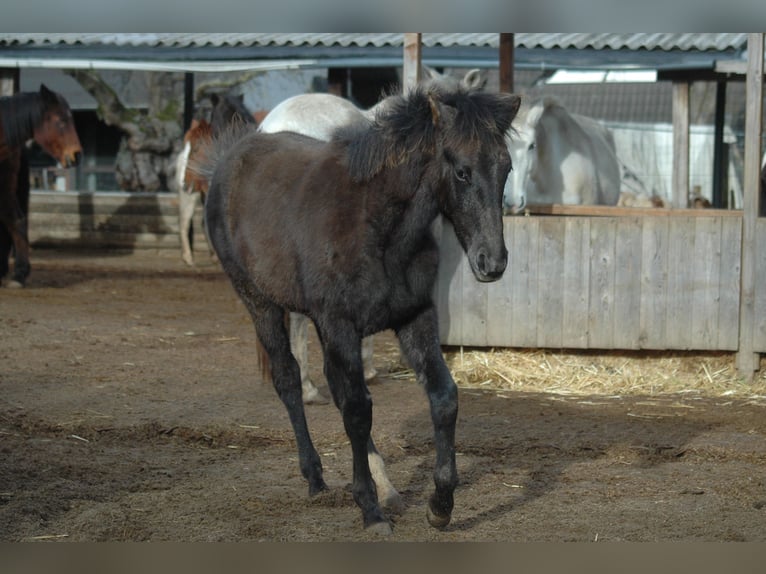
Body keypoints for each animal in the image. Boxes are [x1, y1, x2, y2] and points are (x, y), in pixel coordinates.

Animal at [195, 85, 524, 536]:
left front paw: (439, 504)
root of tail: (231, 156)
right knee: (289, 379)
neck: (379, 227)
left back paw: (386, 487)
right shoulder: (340, 325)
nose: (492, 261)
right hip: (260, 303)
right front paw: (369, 509)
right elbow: (356, 411)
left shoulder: (414, 317)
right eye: (461, 171)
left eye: (505, 167)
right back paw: (316, 477)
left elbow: (442, 397)